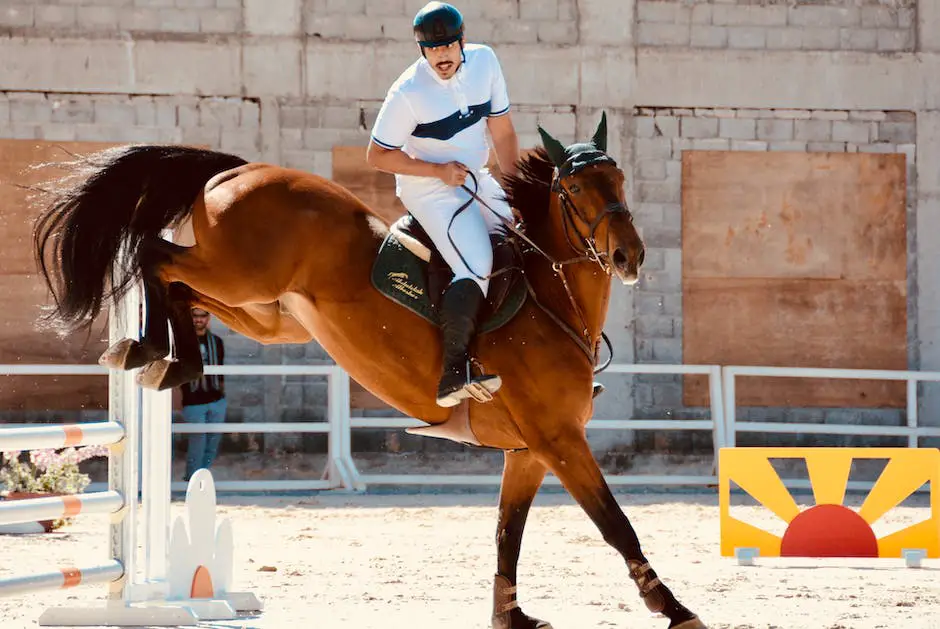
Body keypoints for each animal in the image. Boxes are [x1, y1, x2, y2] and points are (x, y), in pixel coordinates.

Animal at [31, 114, 704, 628]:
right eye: (578, 191)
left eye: (619, 178)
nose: (630, 256)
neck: (550, 298)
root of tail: (240, 170)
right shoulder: (560, 440)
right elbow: (616, 525)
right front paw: (674, 610)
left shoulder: (528, 452)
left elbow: (506, 535)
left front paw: (510, 616)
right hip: (242, 275)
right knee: (154, 255)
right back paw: (147, 352)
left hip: (267, 310)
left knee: (182, 288)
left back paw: (159, 357)